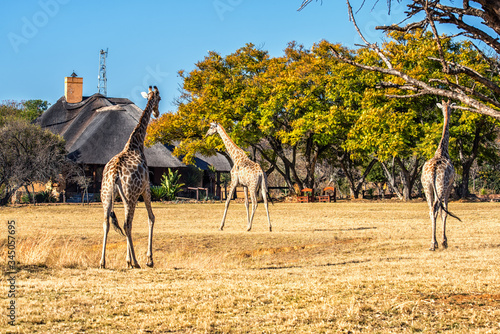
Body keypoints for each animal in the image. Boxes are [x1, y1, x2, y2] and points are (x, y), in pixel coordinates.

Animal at [422, 100, 460, 252]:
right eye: (450, 108)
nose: (448, 110)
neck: (442, 150)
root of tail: (433, 170)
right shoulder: (450, 186)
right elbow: (445, 212)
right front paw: (445, 241)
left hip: (427, 186)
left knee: (431, 209)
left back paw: (432, 243)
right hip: (441, 186)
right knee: (437, 208)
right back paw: (435, 243)